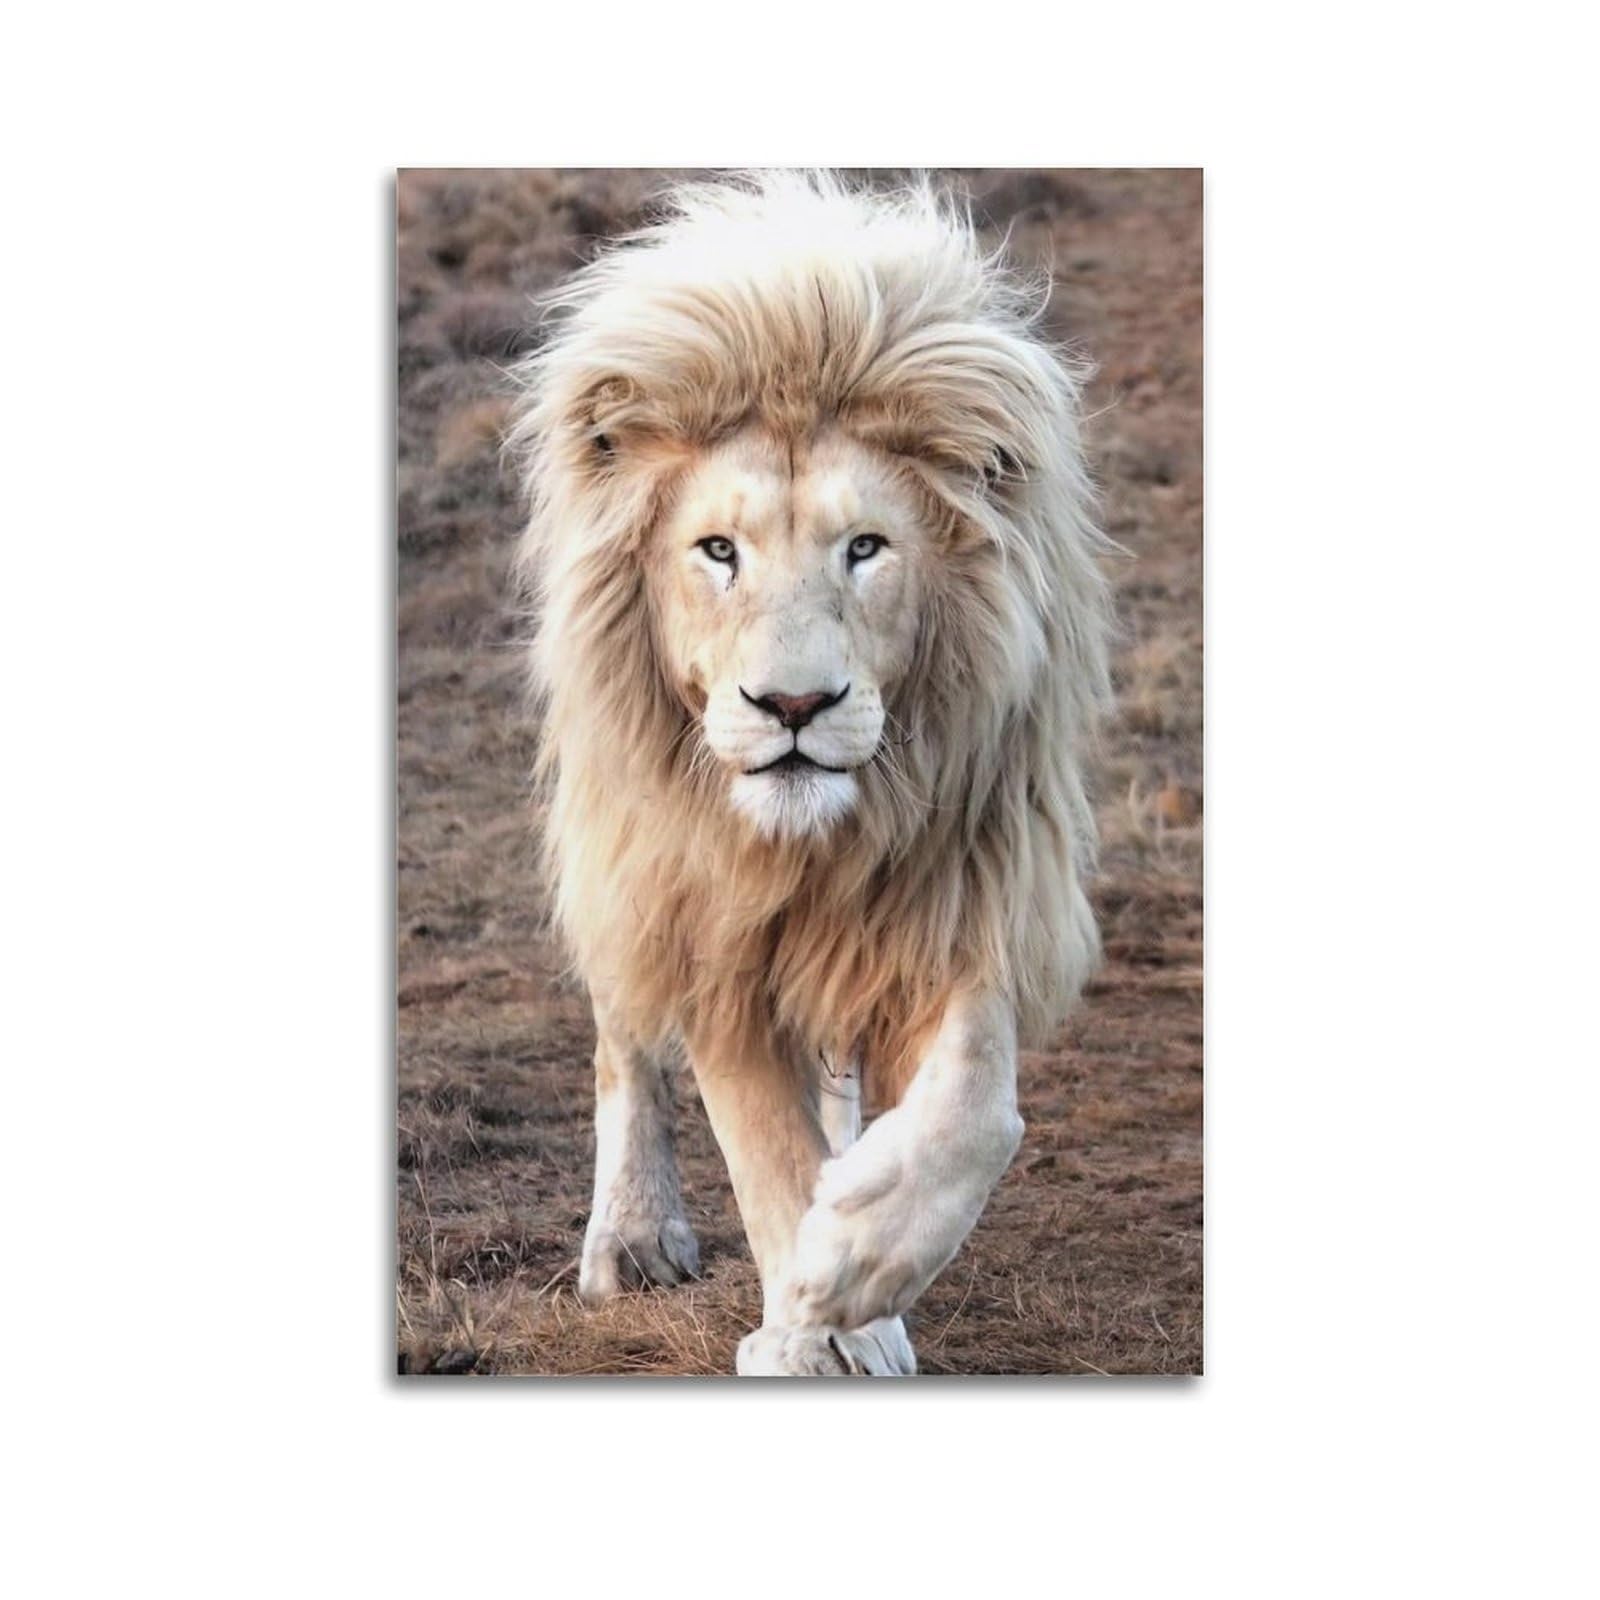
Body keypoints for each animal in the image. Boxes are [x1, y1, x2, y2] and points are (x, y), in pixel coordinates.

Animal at [510, 171, 1112, 1375]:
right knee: (621, 1036)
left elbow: (978, 1108)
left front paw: (862, 1255)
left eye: (866, 547)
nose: (792, 708)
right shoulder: (709, 925)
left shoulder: (966, 879)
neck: (817, 844)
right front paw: (819, 1327)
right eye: (718, 551)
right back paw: (632, 1235)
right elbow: (763, 1146)